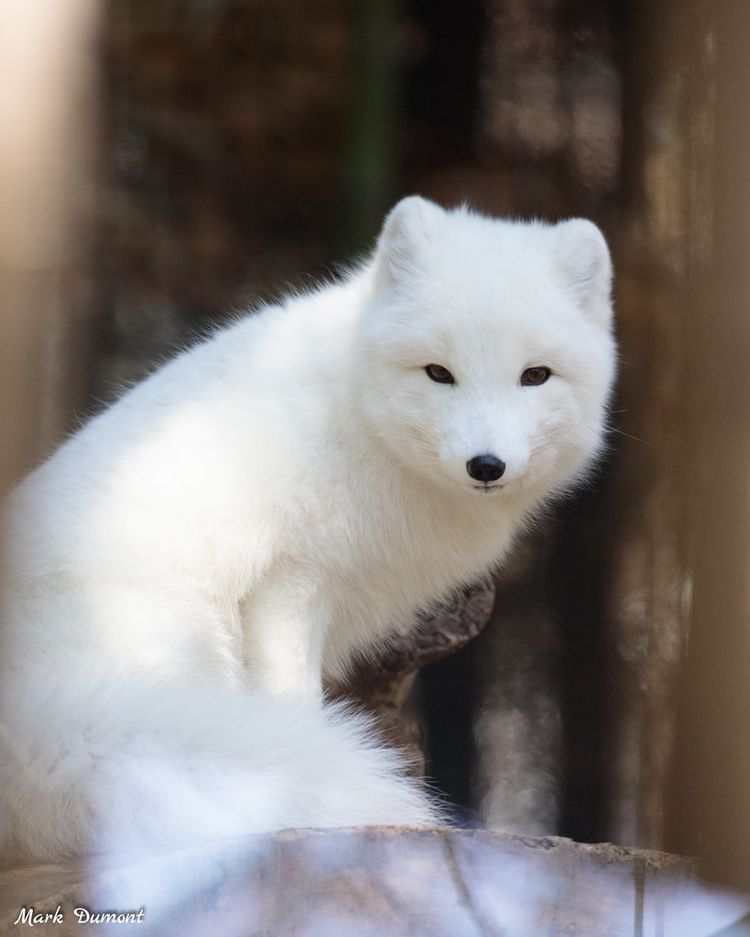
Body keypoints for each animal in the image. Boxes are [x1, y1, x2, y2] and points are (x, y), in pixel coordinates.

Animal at [0, 197, 616, 864]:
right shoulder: (290, 582)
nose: (486, 465)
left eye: (535, 375)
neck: (361, 422)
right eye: (438, 373)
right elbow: (293, 704)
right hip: (189, 641)